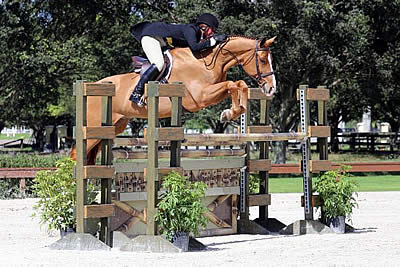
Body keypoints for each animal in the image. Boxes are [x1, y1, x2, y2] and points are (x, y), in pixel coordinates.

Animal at [69, 34, 276, 164]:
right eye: (263, 60)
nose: (271, 88)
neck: (207, 61)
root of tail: (90, 86)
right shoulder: (200, 97)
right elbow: (232, 84)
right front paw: (228, 113)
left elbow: (240, 83)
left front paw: (235, 111)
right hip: (94, 127)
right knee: (75, 154)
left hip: (115, 125)